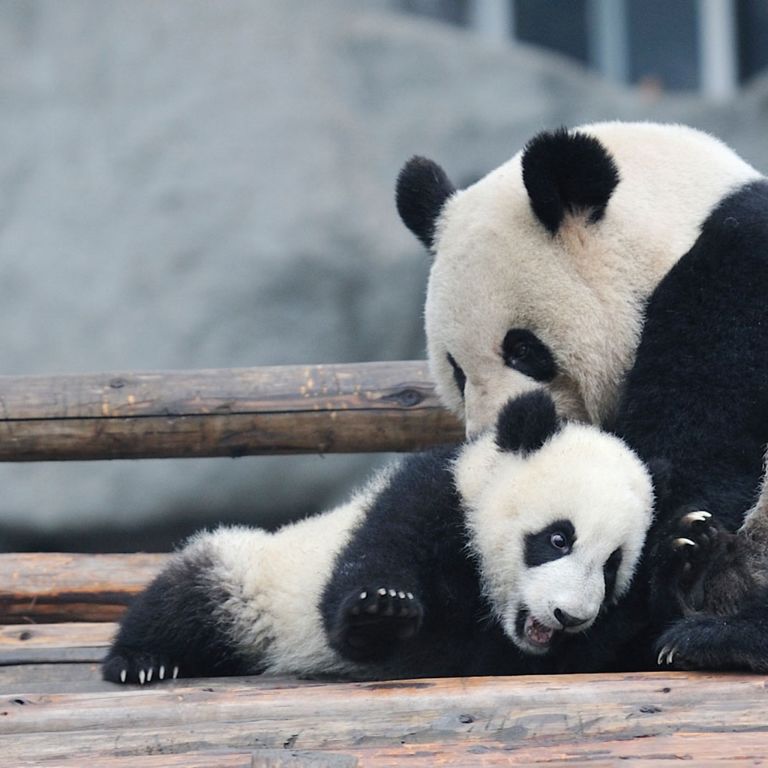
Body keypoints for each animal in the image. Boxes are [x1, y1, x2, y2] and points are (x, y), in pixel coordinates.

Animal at [103, 392, 656, 680]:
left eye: (612, 566)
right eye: (558, 539)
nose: (571, 616)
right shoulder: (426, 498)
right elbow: (372, 580)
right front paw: (380, 610)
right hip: (252, 579)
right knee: (188, 597)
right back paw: (141, 661)